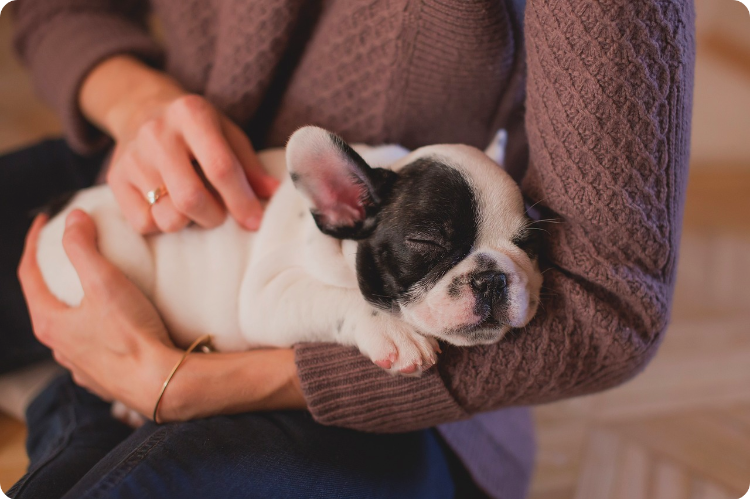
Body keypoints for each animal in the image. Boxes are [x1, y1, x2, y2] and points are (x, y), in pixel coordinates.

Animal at [36, 125, 540, 378]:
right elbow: (339, 297)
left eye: (528, 244)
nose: (493, 278)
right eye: (427, 242)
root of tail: (58, 208)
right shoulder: (267, 294)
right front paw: (394, 331)